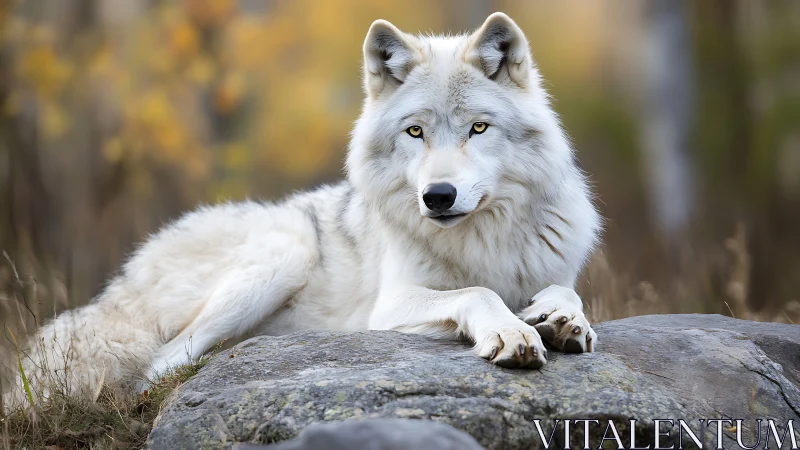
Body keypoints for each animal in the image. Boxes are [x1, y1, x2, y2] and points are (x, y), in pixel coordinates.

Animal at [7, 13, 600, 403]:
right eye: (415, 132)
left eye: (478, 128)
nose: (438, 196)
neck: (486, 235)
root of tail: (123, 279)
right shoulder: (390, 306)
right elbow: (477, 292)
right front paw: (513, 331)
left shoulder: (553, 267)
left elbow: (564, 291)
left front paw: (563, 320)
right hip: (283, 255)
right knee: (159, 368)